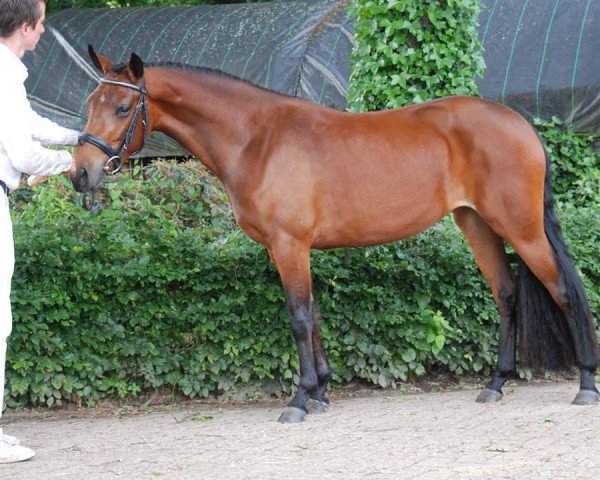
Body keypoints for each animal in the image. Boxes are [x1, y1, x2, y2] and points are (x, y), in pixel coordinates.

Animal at [69, 47, 596, 424]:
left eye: (122, 107)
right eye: (89, 104)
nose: (81, 175)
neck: (258, 139)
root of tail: (520, 123)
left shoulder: (290, 245)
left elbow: (300, 318)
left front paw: (300, 399)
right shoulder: (289, 250)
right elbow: (315, 315)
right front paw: (321, 392)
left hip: (520, 227)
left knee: (565, 290)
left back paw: (585, 384)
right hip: (477, 223)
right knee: (506, 293)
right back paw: (495, 384)